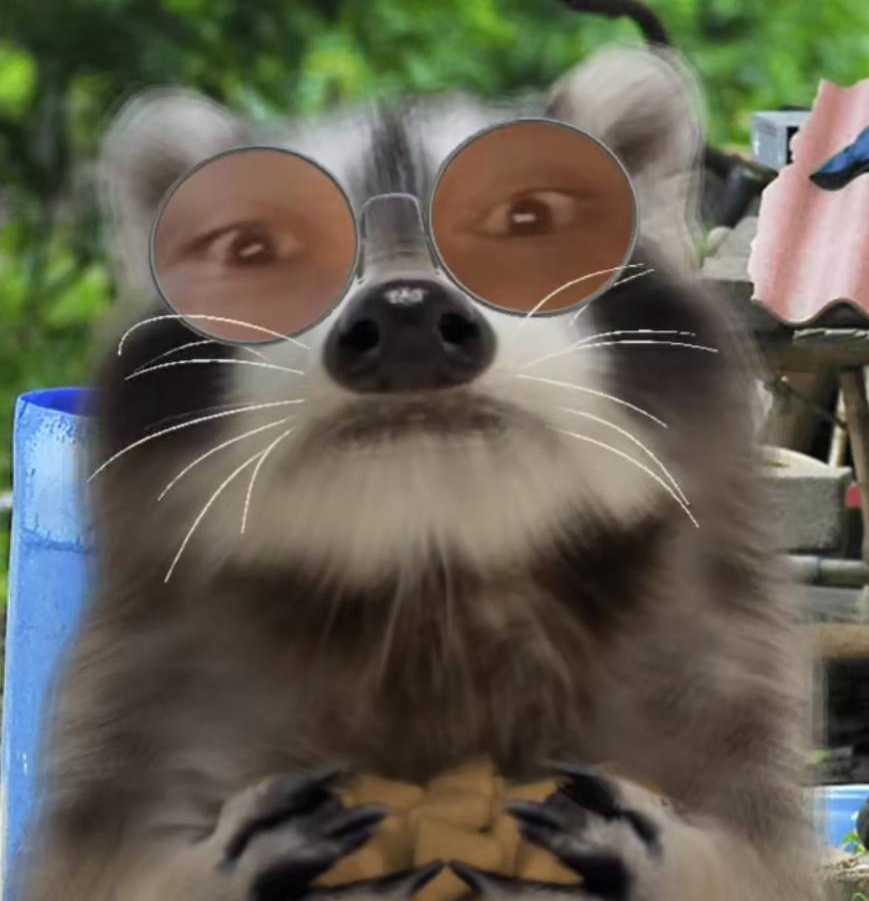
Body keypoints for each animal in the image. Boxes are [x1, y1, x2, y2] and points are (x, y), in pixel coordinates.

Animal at [16, 45, 822, 901]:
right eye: (255, 250)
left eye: (529, 219)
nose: (406, 319)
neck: (431, 564)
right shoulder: (139, 686)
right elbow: (111, 858)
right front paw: (204, 864)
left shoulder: (722, 664)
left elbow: (753, 853)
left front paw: (686, 854)